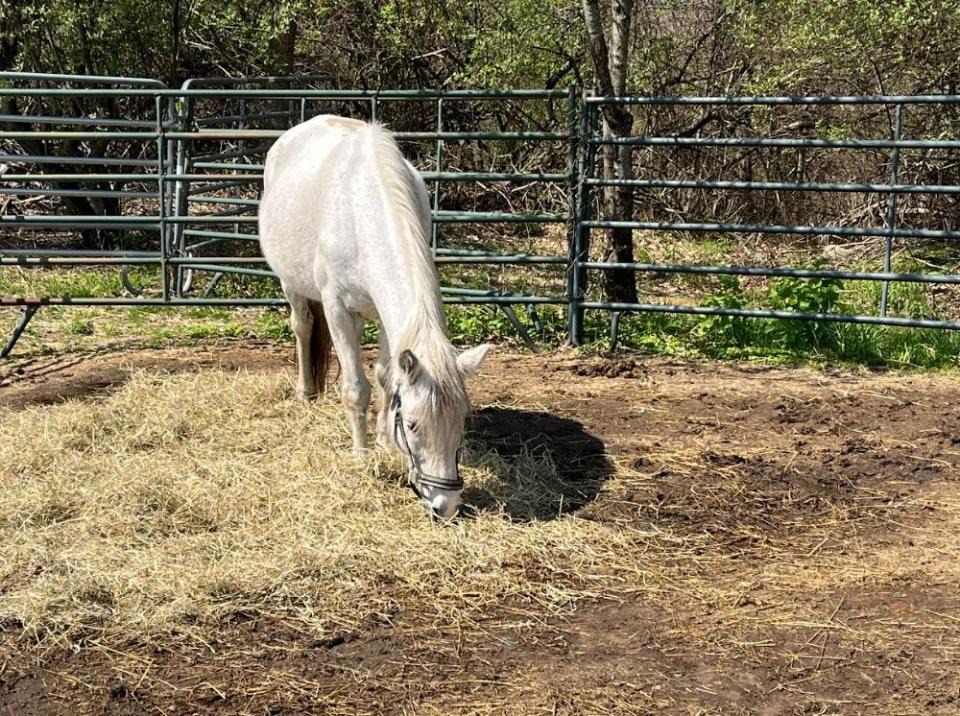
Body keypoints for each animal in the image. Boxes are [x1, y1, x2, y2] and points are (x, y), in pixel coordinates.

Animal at [258, 117, 492, 520]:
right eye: (413, 425)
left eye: (461, 422)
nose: (444, 506)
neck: (361, 211)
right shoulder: (338, 310)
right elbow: (356, 388)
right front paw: (362, 455)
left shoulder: (386, 318)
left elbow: (386, 376)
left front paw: (383, 440)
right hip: (292, 284)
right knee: (302, 327)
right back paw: (305, 392)